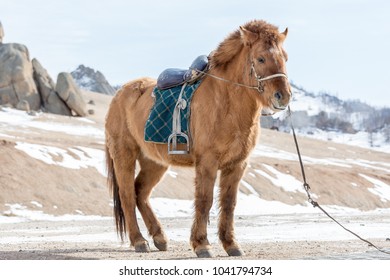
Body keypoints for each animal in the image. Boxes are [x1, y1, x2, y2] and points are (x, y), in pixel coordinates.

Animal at [105, 18, 290, 258]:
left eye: (285, 58)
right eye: (260, 58)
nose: (283, 96)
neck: (225, 102)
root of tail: (120, 94)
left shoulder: (237, 165)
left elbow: (228, 203)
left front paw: (231, 244)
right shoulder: (207, 162)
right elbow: (204, 200)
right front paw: (202, 244)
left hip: (155, 162)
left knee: (141, 193)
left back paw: (159, 237)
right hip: (124, 155)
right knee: (127, 194)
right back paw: (139, 241)